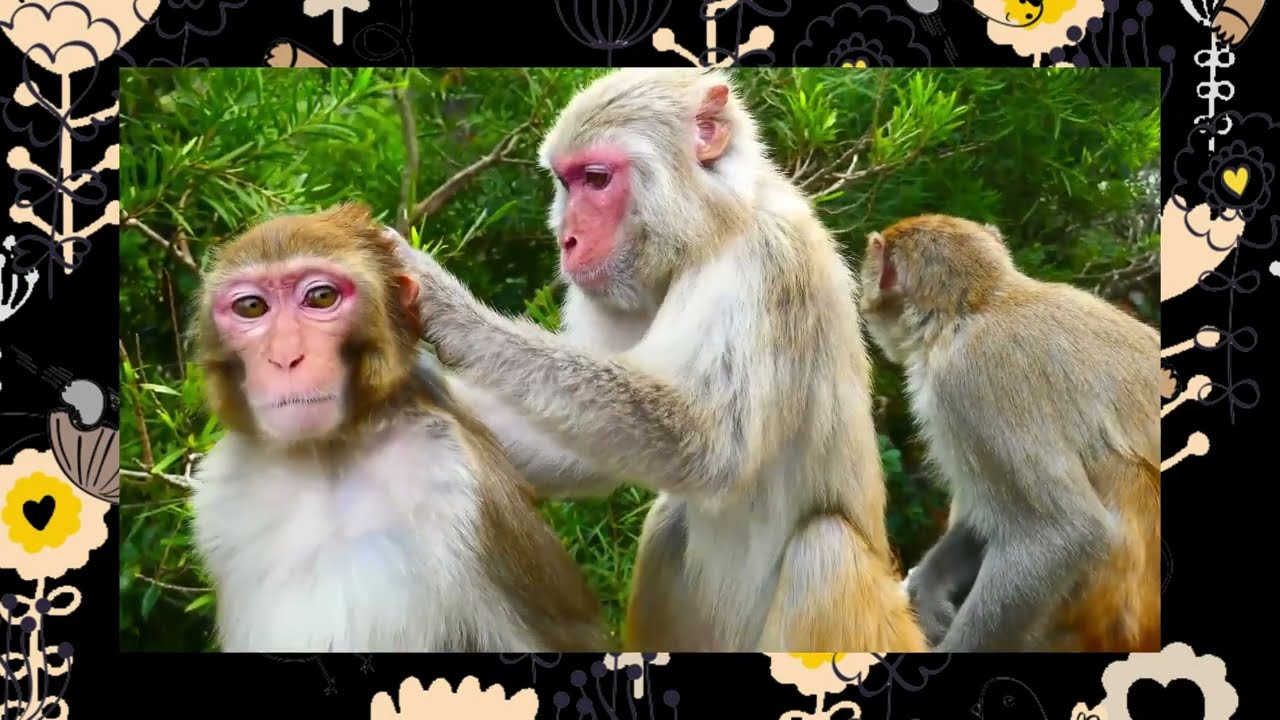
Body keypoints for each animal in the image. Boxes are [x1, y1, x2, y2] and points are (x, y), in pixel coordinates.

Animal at [186, 202, 610, 653]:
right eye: (251, 307)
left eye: (321, 297)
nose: (285, 357)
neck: (327, 454)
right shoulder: (221, 495)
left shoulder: (455, 478)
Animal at [393, 67, 928, 652]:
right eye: (567, 181)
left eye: (597, 179)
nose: (567, 241)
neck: (713, 232)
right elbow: (587, 452)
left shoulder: (769, 265)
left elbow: (709, 446)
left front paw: (449, 310)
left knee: (823, 550)